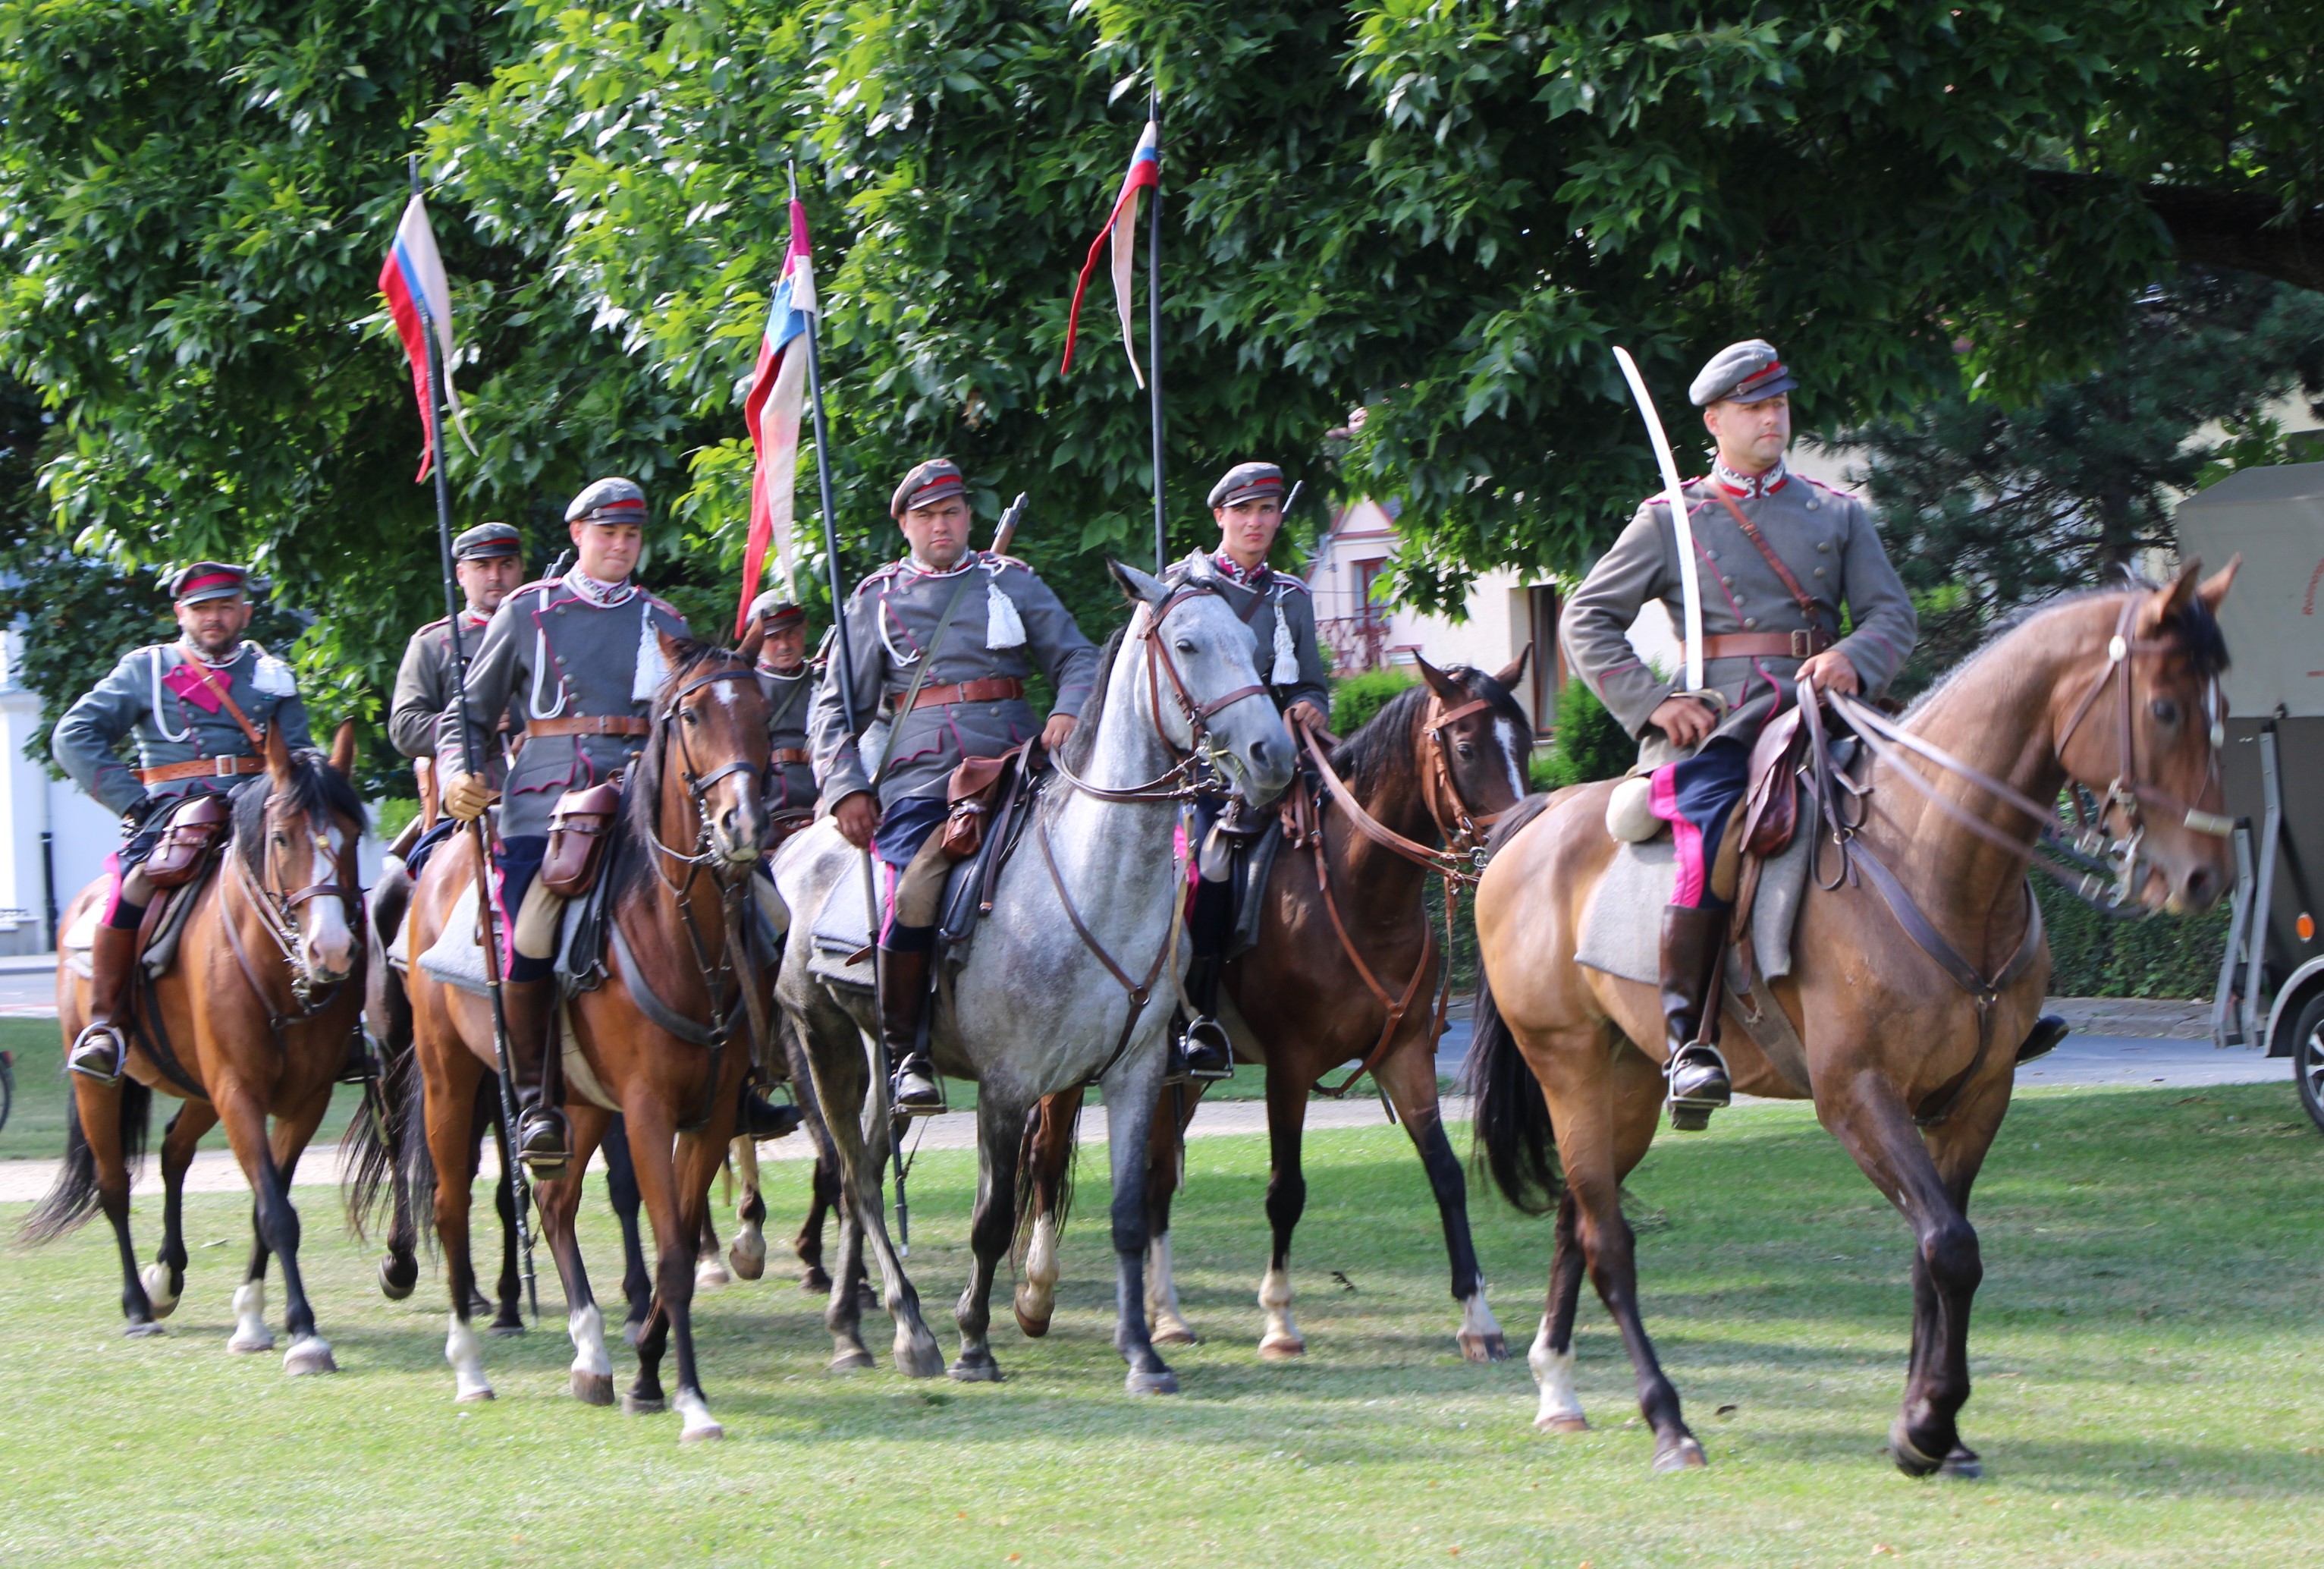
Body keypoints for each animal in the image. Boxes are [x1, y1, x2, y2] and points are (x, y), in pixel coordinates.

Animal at [24, 725, 367, 1376]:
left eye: (353, 834)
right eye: (282, 837)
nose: (331, 951)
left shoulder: (302, 1100)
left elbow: (268, 1203)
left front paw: (254, 1317)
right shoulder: (238, 1092)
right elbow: (276, 1212)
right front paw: (304, 1334)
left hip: (201, 1092)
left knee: (172, 1152)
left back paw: (166, 1278)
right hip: (102, 1086)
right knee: (113, 1184)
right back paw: (138, 1306)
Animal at [388, 632, 771, 1441]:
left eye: (762, 708)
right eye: (693, 715)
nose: (744, 827)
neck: (675, 929)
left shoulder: (713, 1113)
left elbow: (677, 1243)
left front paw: (649, 1374)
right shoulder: (651, 1112)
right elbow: (674, 1251)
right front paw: (692, 1401)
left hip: (581, 1102)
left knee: (555, 1203)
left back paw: (592, 1357)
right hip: (450, 1079)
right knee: (449, 1206)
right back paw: (470, 1368)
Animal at [776, 558, 1292, 1394]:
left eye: (1252, 644)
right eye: (1186, 644)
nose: (1272, 755)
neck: (1093, 880)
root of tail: (799, 844)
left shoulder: (1135, 1076)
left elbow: (1126, 1213)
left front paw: (1142, 1352)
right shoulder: (1009, 1086)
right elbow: (990, 1221)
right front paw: (974, 1344)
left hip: (882, 1051)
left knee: (867, 1167)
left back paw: (854, 1329)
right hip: (825, 1039)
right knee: (855, 1176)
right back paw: (911, 1330)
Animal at [1003, 655, 1534, 1366]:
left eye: (1524, 743)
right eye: (1469, 747)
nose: (1512, 842)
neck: (1357, 893)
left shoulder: (1404, 1056)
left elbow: (1446, 1174)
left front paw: (1478, 1318)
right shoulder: (1290, 1067)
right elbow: (1286, 1190)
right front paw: (1280, 1321)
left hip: (1178, 1074)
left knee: (1155, 1176)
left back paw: (1167, 1315)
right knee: (1046, 1152)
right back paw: (1037, 1296)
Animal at [1468, 571, 2231, 1478]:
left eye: (2220, 704)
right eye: (2164, 708)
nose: (2205, 876)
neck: (1933, 855)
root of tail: (1536, 821)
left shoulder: (1976, 1097)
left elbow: (1935, 1250)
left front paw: (1933, 1426)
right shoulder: (1855, 1093)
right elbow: (1950, 1245)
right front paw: (1927, 1423)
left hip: (1625, 1087)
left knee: (1577, 1218)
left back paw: (1559, 1389)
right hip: (1571, 1068)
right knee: (1610, 1243)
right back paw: (1669, 1424)